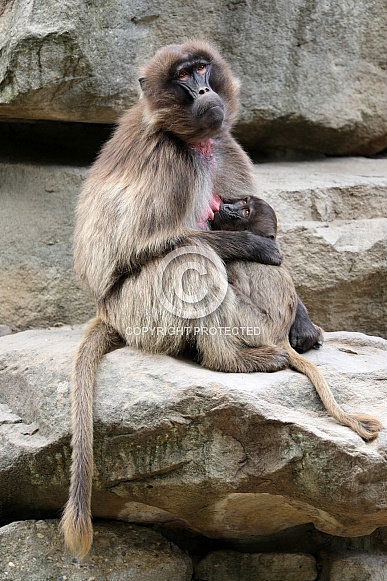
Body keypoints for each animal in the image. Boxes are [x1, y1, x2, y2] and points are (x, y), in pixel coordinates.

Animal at [62, 40, 322, 556]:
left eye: (202, 68)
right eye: (183, 76)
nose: (203, 90)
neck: (193, 144)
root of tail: (106, 313)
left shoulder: (225, 146)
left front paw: (302, 326)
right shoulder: (167, 161)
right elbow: (139, 249)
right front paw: (255, 245)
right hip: (137, 311)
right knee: (190, 258)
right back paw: (233, 360)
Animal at [211, 197, 384, 442]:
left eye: (245, 211)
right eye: (242, 201)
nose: (225, 207)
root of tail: (280, 336)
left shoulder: (239, 262)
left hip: (254, 325)